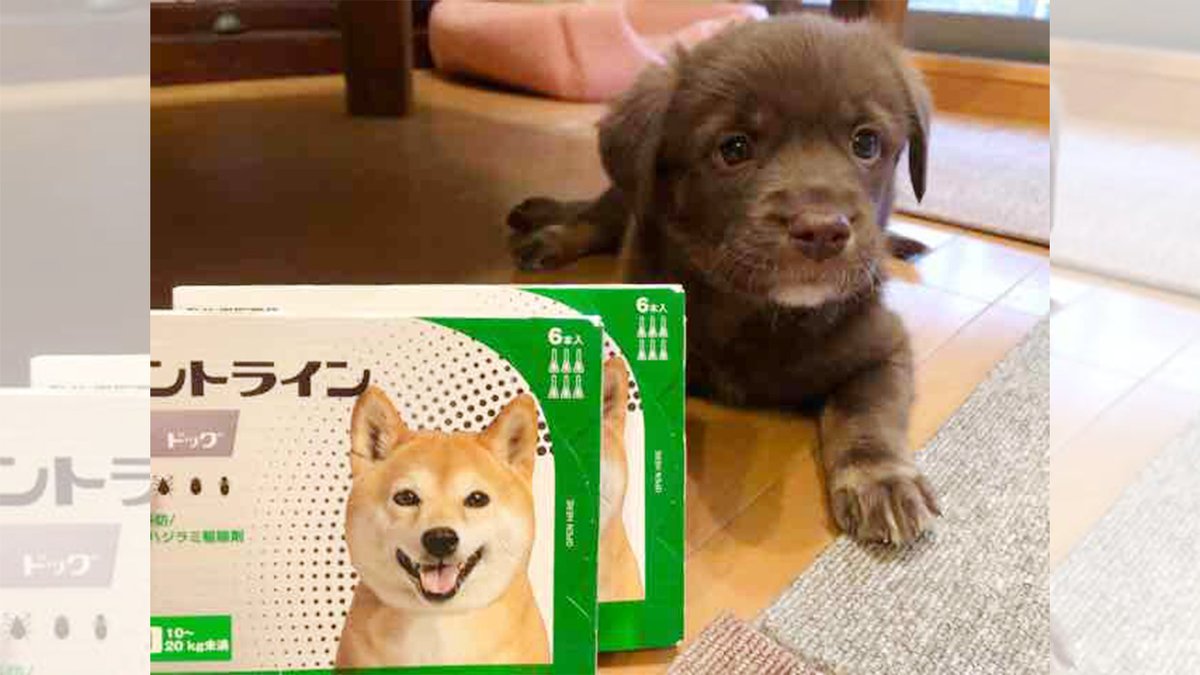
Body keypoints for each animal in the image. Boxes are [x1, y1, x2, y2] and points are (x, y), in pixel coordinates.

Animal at [508, 16, 940, 545]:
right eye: (734, 148)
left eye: (867, 143)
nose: (822, 230)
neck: (760, 313)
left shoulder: (883, 346)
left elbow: (868, 413)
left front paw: (882, 480)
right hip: (626, 201)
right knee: (595, 213)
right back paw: (545, 228)